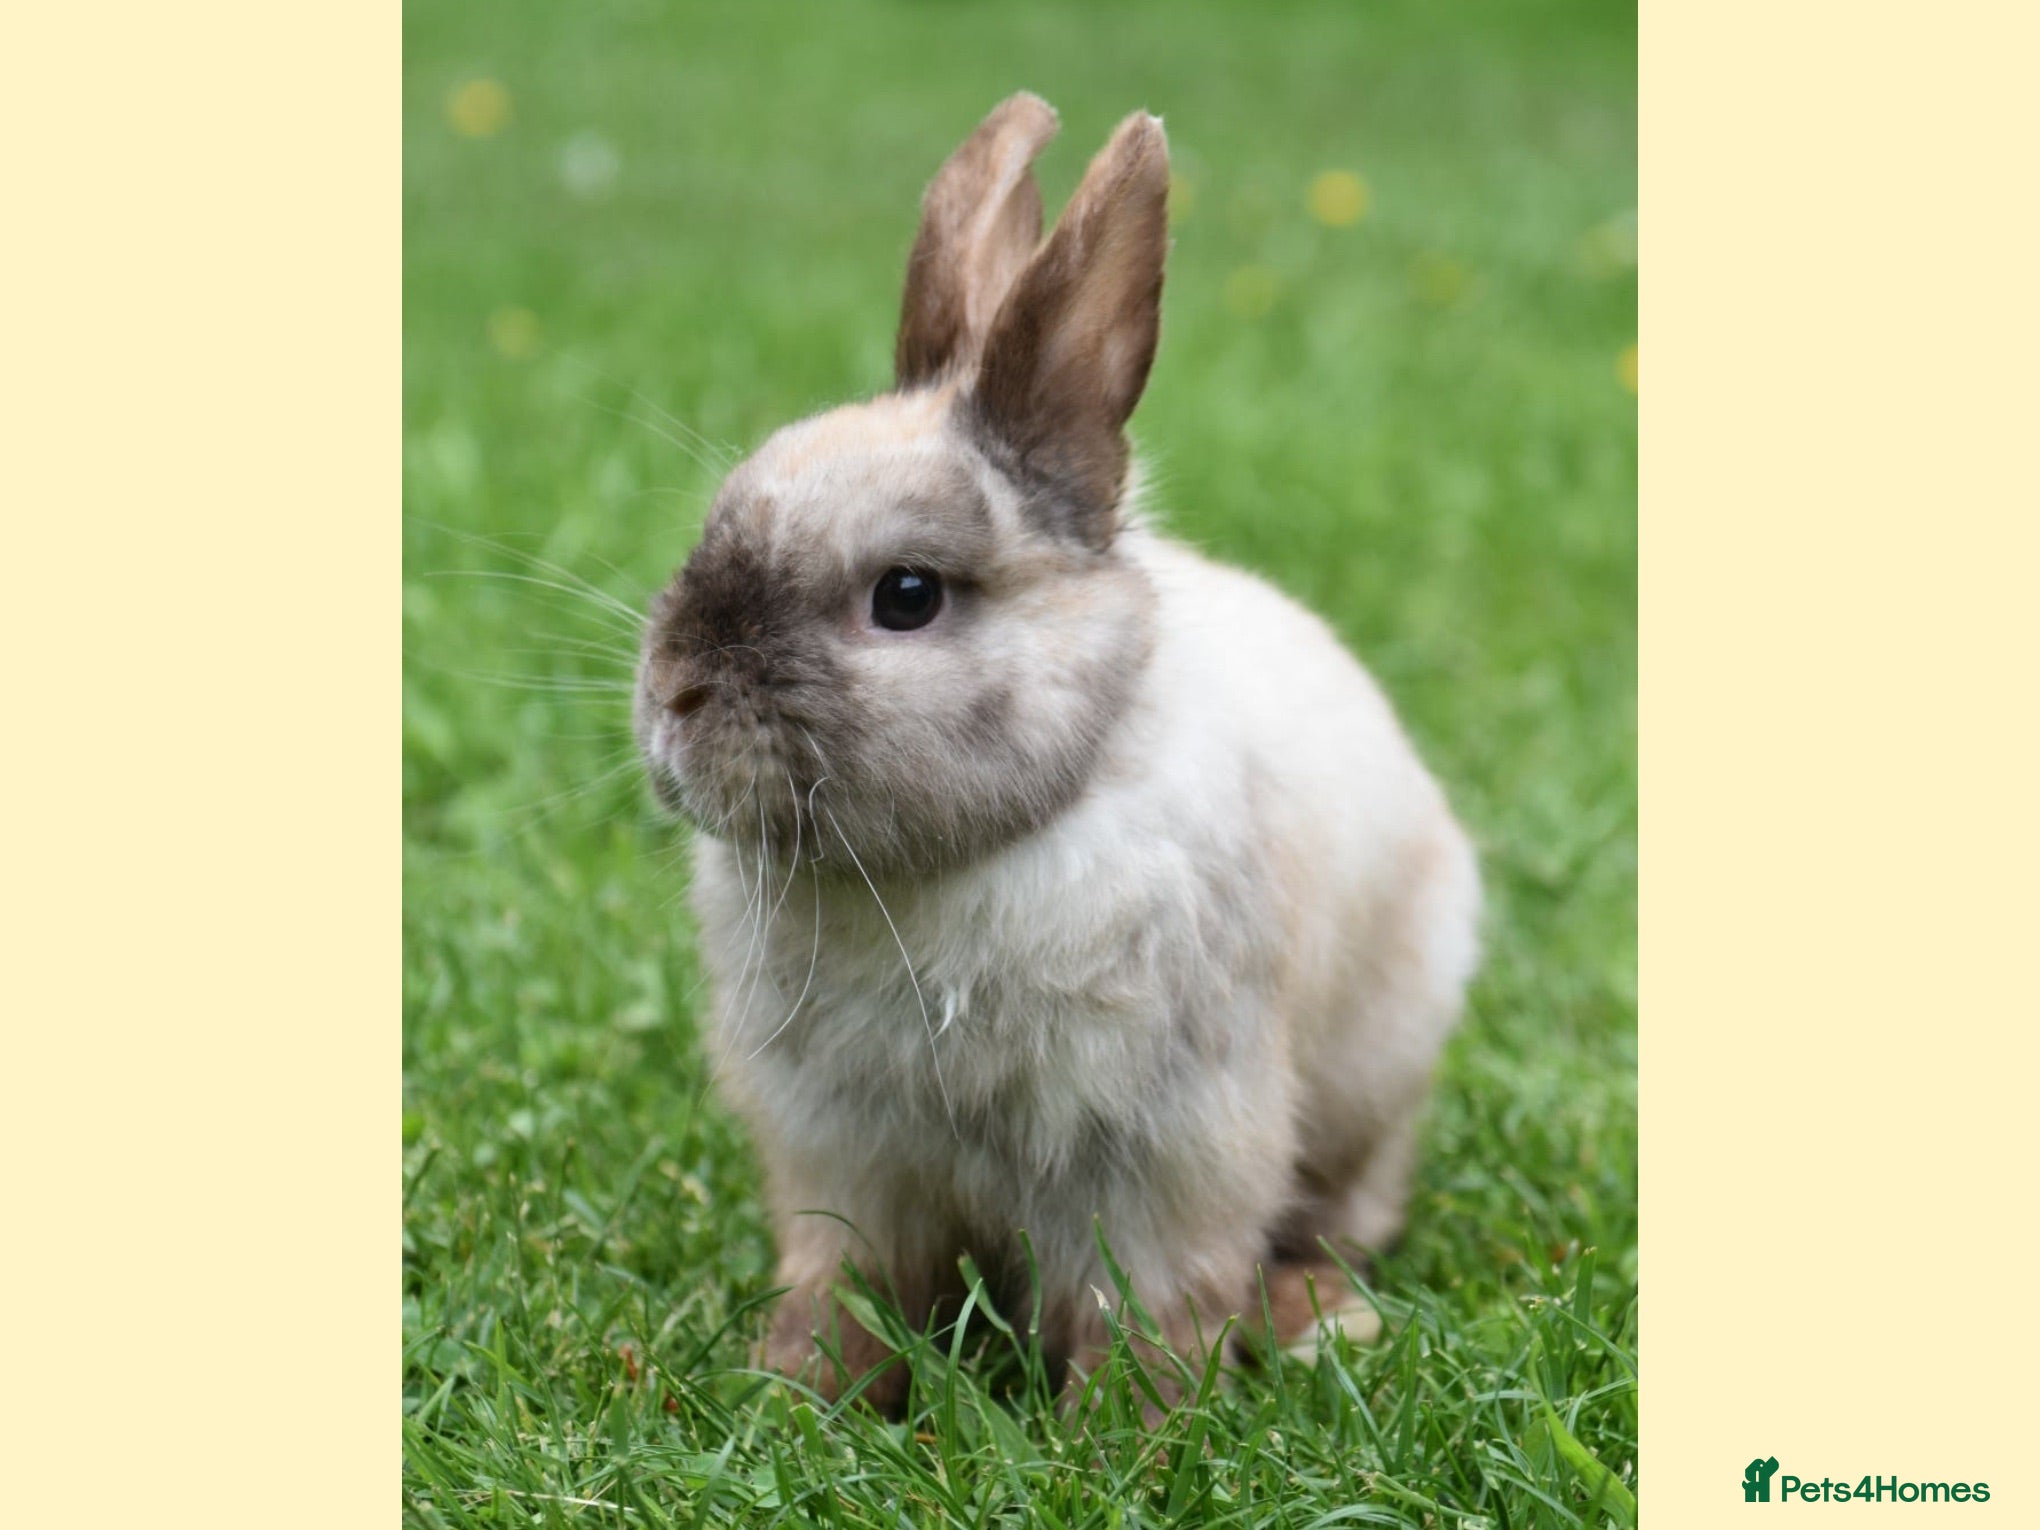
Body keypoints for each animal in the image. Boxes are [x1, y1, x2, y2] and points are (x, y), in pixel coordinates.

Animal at [633, 93, 1481, 1413]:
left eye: (908, 595)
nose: (674, 694)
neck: (946, 866)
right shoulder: (846, 1158)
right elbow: (846, 1290)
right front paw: (794, 1398)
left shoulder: (1165, 1150)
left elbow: (1148, 1311)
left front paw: (1124, 1435)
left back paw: (1317, 1316)